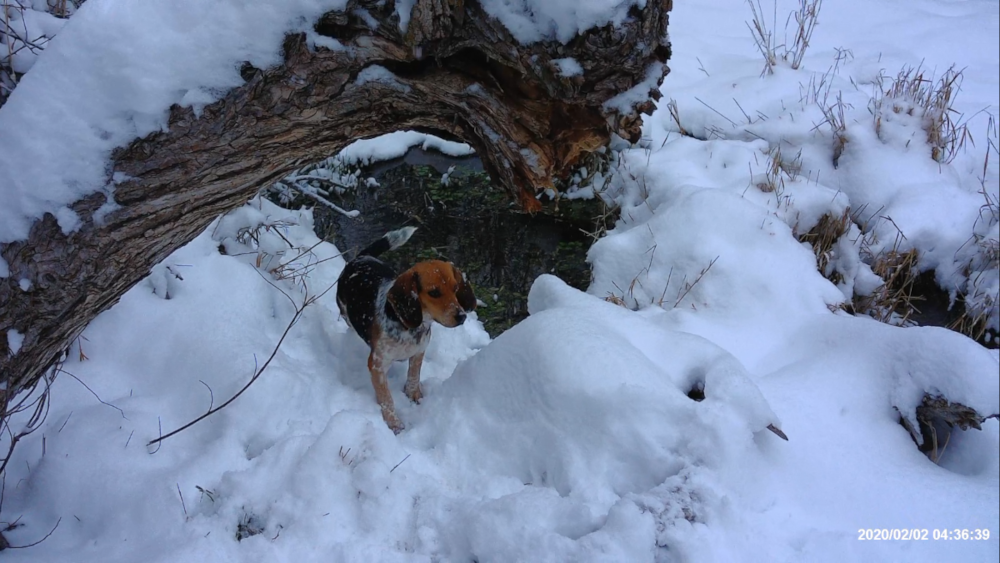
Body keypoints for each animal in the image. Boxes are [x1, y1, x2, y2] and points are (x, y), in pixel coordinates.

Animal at [336, 227, 476, 434]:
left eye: (455, 287)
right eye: (434, 292)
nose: (461, 316)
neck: (409, 326)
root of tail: (361, 257)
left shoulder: (418, 353)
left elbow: (413, 377)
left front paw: (414, 395)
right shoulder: (377, 365)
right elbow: (386, 398)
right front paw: (393, 424)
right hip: (345, 313)